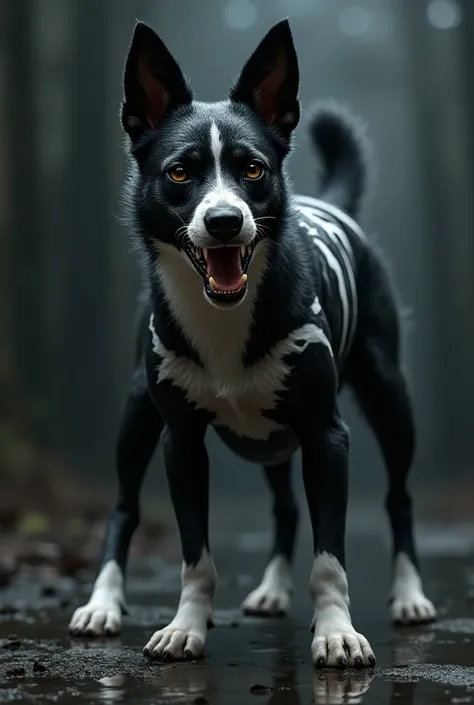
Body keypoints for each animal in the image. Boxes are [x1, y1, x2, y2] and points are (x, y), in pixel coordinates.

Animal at [67, 16, 436, 664]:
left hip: (388, 396)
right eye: (180, 172)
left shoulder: (324, 434)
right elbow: (195, 556)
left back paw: (409, 595)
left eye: (255, 169)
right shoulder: (181, 440)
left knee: (397, 497)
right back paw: (106, 602)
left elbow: (330, 557)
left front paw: (337, 631)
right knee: (127, 505)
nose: (224, 221)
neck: (226, 316)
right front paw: (186, 625)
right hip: (142, 413)